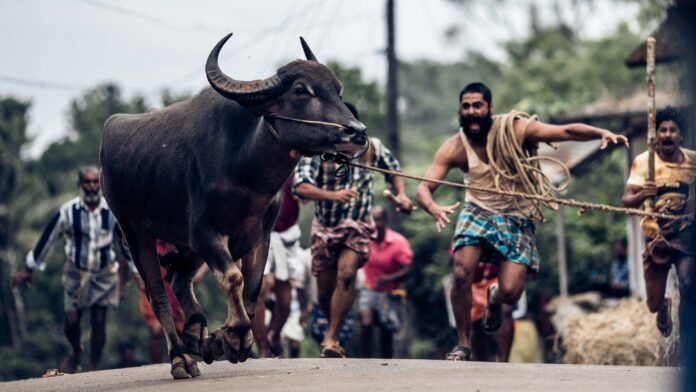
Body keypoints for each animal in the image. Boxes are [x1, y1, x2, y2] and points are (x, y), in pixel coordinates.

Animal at [100, 35, 368, 378]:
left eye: (338, 89)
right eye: (300, 90)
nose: (356, 131)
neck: (246, 173)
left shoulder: (258, 236)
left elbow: (252, 291)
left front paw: (221, 340)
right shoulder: (206, 234)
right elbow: (233, 279)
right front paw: (232, 338)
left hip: (184, 243)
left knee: (179, 279)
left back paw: (196, 333)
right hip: (135, 231)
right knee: (158, 293)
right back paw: (181, 358)